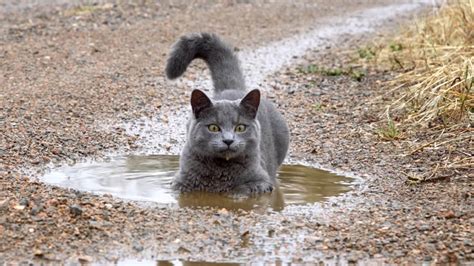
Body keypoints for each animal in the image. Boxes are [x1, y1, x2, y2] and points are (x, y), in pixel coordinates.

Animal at [165, 33, 288, 195]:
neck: (221, 171)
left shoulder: (263, 182)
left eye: (240, 127)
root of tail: (232, 88)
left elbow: (244, 189)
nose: (228, 140)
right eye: (213, 127)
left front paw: (233, 193)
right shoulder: (179, 181)